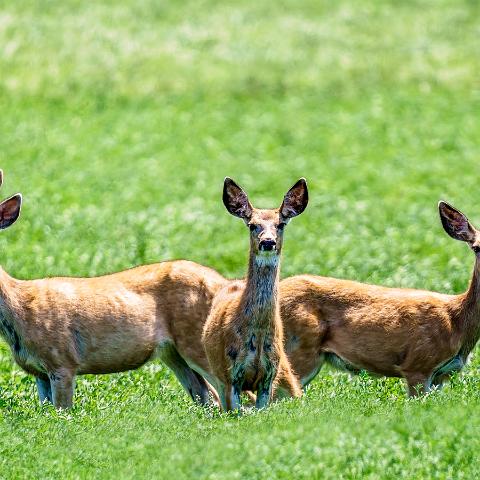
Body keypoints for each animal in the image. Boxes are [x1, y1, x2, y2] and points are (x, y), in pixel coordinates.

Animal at [0, 169, 231, 408]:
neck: (20, 309)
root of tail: (222, 282)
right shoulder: (39, 372)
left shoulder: (62, 361)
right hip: (172, 352)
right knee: (206, 395)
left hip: (198, 339)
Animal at [202, 178, 308, 410]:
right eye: (252, 225)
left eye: (281, 224)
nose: (267, 241)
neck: (257, 336)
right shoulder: (231, 374)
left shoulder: (269, 375)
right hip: (217, 373)